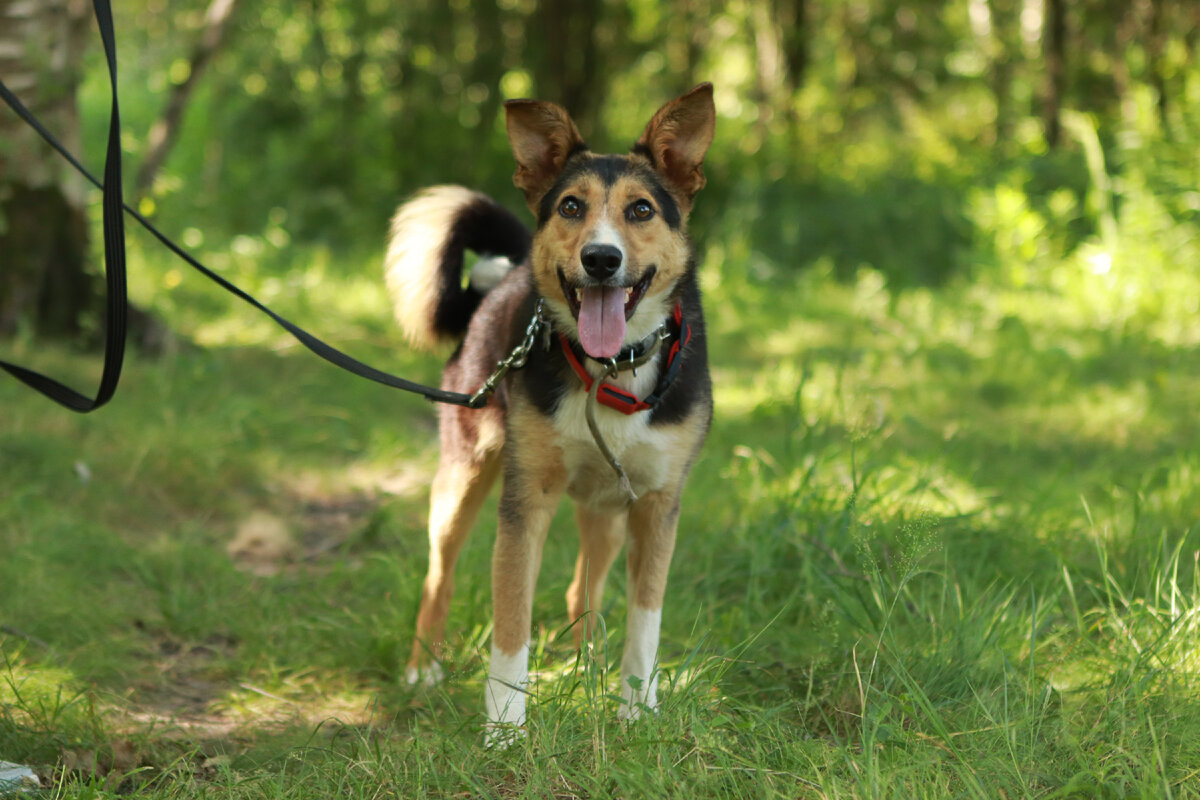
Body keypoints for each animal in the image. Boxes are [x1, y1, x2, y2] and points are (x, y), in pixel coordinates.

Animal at [386, 82, 710, 738]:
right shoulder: (526, 498)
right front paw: (506, 729)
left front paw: (636, 711)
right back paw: (423, 668)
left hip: (607, 508)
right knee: (439, 575)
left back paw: (588, 671)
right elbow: (511, 621)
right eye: (570, 207)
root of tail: (504, 277)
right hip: (463, 476)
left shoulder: (657, 504)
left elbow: (645, 620)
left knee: (581, 593)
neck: (611, 370)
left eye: (642, 210)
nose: (601, 259)